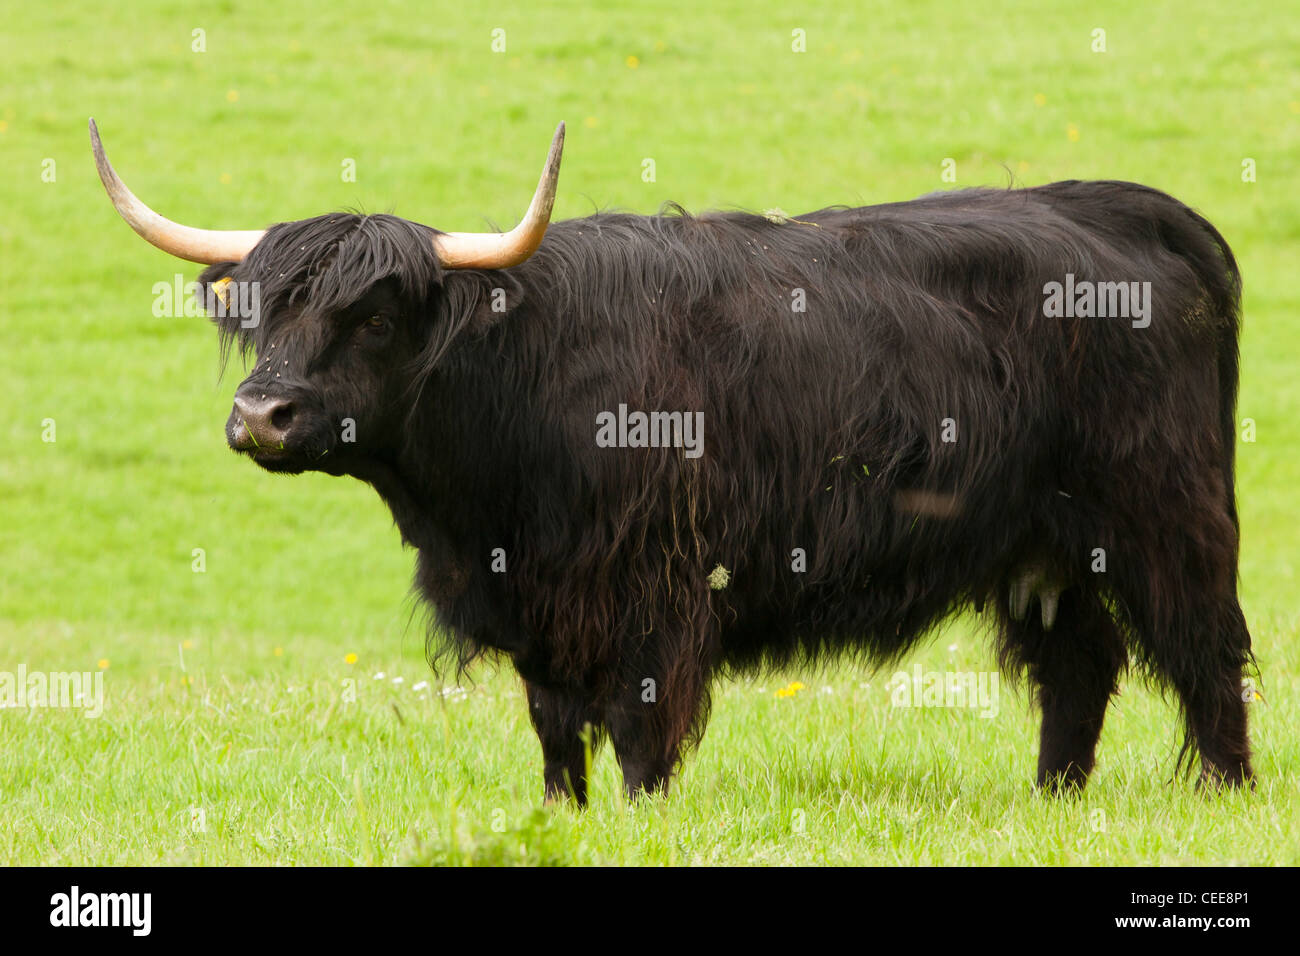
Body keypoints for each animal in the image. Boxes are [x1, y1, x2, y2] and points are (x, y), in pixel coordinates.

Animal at [90, 118, 1254, 804]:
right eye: (266, 313)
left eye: (373, 317)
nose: (262, 415)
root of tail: (1113, 205)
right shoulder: (540, 607)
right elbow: (556, 729)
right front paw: (562, 814)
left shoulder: (654, 592)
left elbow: (641, 726)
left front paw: (639, 813)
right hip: (1042, 545)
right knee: (1080, 664)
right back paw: (1054, 797)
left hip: (1162, 514)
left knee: (1206, 652)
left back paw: (1220, 792)